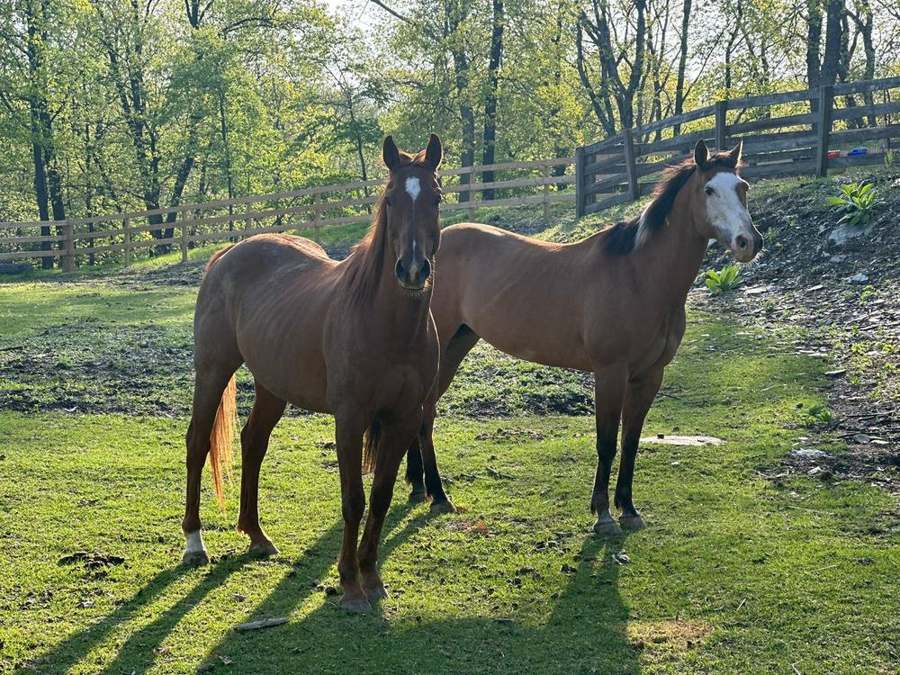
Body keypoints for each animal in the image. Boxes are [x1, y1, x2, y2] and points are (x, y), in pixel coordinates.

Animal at [182, 134, 444, 612]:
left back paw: (256, 534)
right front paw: (350, 583)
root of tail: (229, 252)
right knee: (197, 442)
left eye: (435, 197)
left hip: (272, 385)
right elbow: (353, 499)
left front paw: (372, 575)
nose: (412, 270)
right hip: (212, 371)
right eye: (391, 199)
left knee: (253, 442)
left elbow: (381, 497)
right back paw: (194, 542)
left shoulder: (404, 418)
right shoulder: (350, 418)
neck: (386, 324)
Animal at [405, 139, 762, 535]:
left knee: (420, 413)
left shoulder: (650, 376)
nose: (748, 242)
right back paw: (438, 495)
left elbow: (631, 441)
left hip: (457, 345)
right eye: (709, 190)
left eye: (743, 188)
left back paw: (419, 486)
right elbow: (606, 442)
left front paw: (629, 509)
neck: (639, 276)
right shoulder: (610, 373)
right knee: (424, 416)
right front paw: (603, 515)